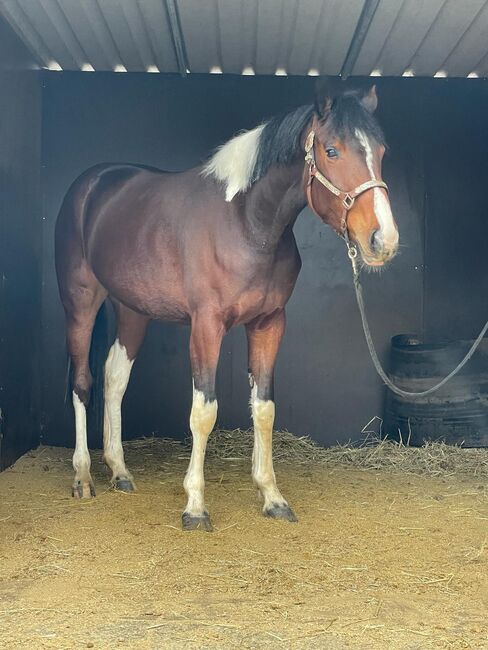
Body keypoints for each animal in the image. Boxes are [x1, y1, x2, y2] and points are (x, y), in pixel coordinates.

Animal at [55, 78, 398, 528]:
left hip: (133, 310)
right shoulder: (206, 326)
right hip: (80, 302)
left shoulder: (269, 323)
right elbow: (204, 412)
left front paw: (272, 496)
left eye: (381, 152)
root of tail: (92, 183)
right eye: (332, 150)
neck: (245, 223)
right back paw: (82, 477)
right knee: (82, 382)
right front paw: (195, 506)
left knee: (115, 377)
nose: (383, 240)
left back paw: (120, 471)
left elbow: (264, 408)